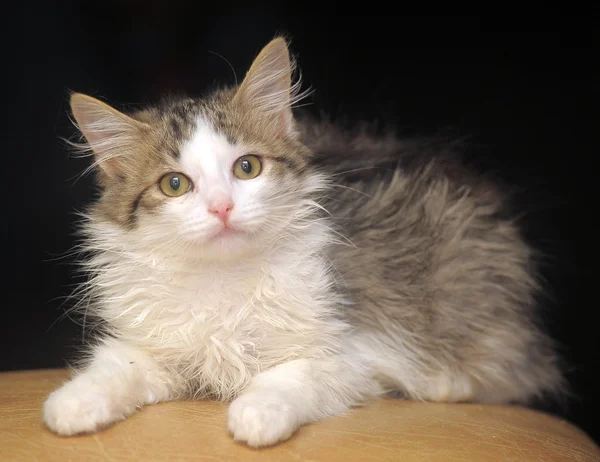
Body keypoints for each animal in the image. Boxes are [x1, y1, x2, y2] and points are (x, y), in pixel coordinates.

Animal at [43, 37, 564, 448]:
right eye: (175, 184)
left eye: (247, 167)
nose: (222, 208)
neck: (223, 277)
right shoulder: (155, 347)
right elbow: (115, 366)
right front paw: (70, 404)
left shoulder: (353, 350)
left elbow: (290, 374)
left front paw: (255, 414)